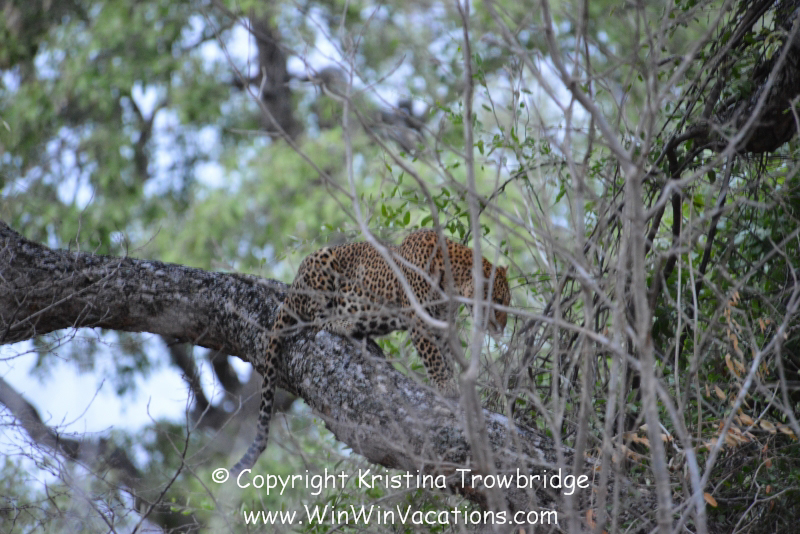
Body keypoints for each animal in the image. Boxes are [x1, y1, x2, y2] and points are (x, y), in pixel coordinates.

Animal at [231, 229, 511, 474]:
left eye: (505, 302)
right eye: (497, 301)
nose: (503, 328)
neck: (454, 281)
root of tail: (292, 288)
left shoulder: (441, 324)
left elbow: (445, 357)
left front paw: (453, 382)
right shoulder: (420, 321)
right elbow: (433, 357)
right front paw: (445, 386)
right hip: (322, 262)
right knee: (315, 317)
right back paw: (343, 323)